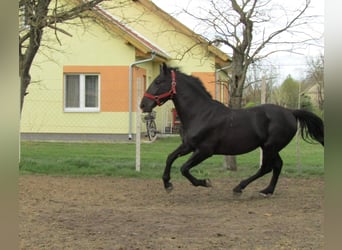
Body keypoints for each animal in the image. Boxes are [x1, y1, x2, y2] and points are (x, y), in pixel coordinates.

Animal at [139, 63, 324, 195]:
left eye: (158, 82)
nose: (143, 105)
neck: (200, 113)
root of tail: (290, 112)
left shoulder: (205, 151)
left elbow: (184, 168)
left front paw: (205, 182)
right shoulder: (188, 146)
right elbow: (170, 158)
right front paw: (167, 184)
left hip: (270, 147)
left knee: (267, 167)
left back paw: (239, 187)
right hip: (270, 147)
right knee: (277, 165)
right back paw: (267, 191)